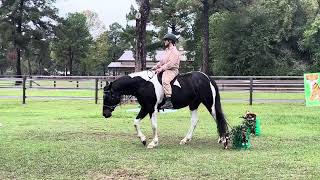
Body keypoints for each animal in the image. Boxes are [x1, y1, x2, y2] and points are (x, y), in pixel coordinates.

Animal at [101, 70, 229, 149]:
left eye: (108, 96)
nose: (105, 114)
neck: (143, 84)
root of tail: (208, 78)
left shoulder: (151, 108)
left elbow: (153, 125)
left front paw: (153, 143)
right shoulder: (145, 107)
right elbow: (136, 122)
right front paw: (143, 139)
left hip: (209, 104)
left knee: (218, 118)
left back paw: (223, 139)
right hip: (193, 104)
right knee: (195, 121)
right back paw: (186, 140)